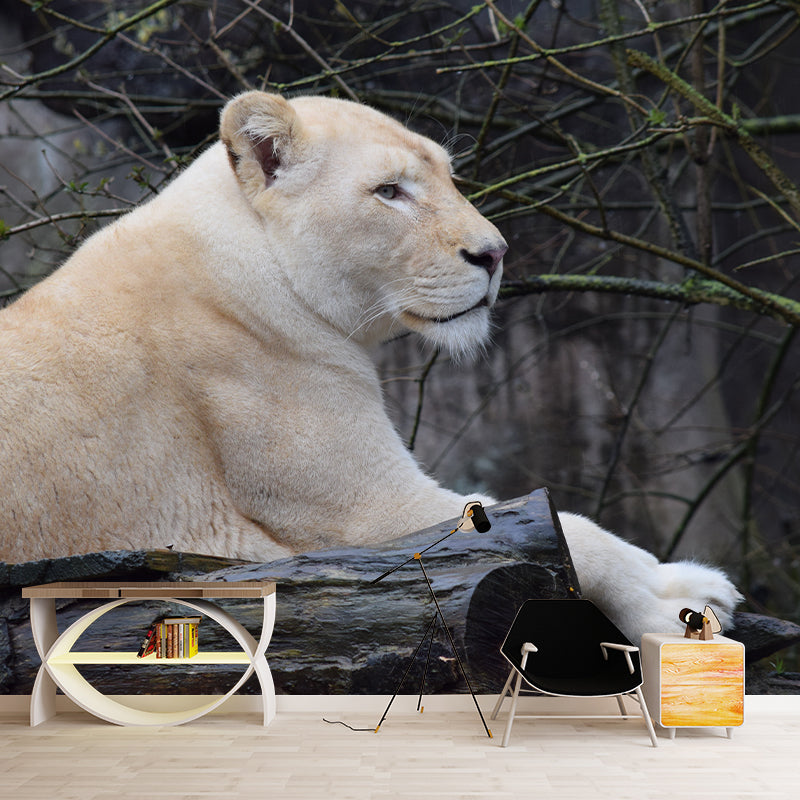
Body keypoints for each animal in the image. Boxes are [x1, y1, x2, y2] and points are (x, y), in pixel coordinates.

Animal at [0, 91, 740, 640]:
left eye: (449, 174)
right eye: (389, 191)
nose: (495, 253)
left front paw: (696, 584)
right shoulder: (360, 514)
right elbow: (569, 530)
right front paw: (679, 609)